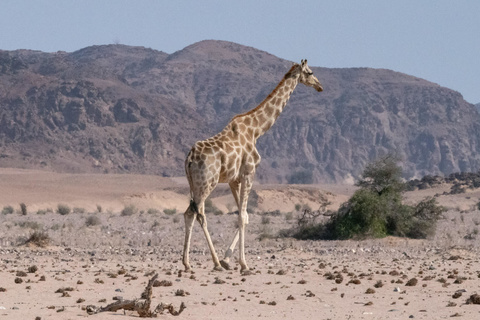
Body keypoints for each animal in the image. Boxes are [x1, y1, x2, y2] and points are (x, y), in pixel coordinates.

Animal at [183, 59, 322, 272]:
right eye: (310, 72)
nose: (319, 86)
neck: (257, 130)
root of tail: (189, 159)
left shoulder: (234, 179)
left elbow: (245, 216)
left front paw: (228, 259)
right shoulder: (249, 172)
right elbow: (242, 216)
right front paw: (243, 264)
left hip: (194, 184)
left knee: (190, 213)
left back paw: (188, 263)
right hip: (207, 183)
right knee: (199, 214)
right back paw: (214, 263)